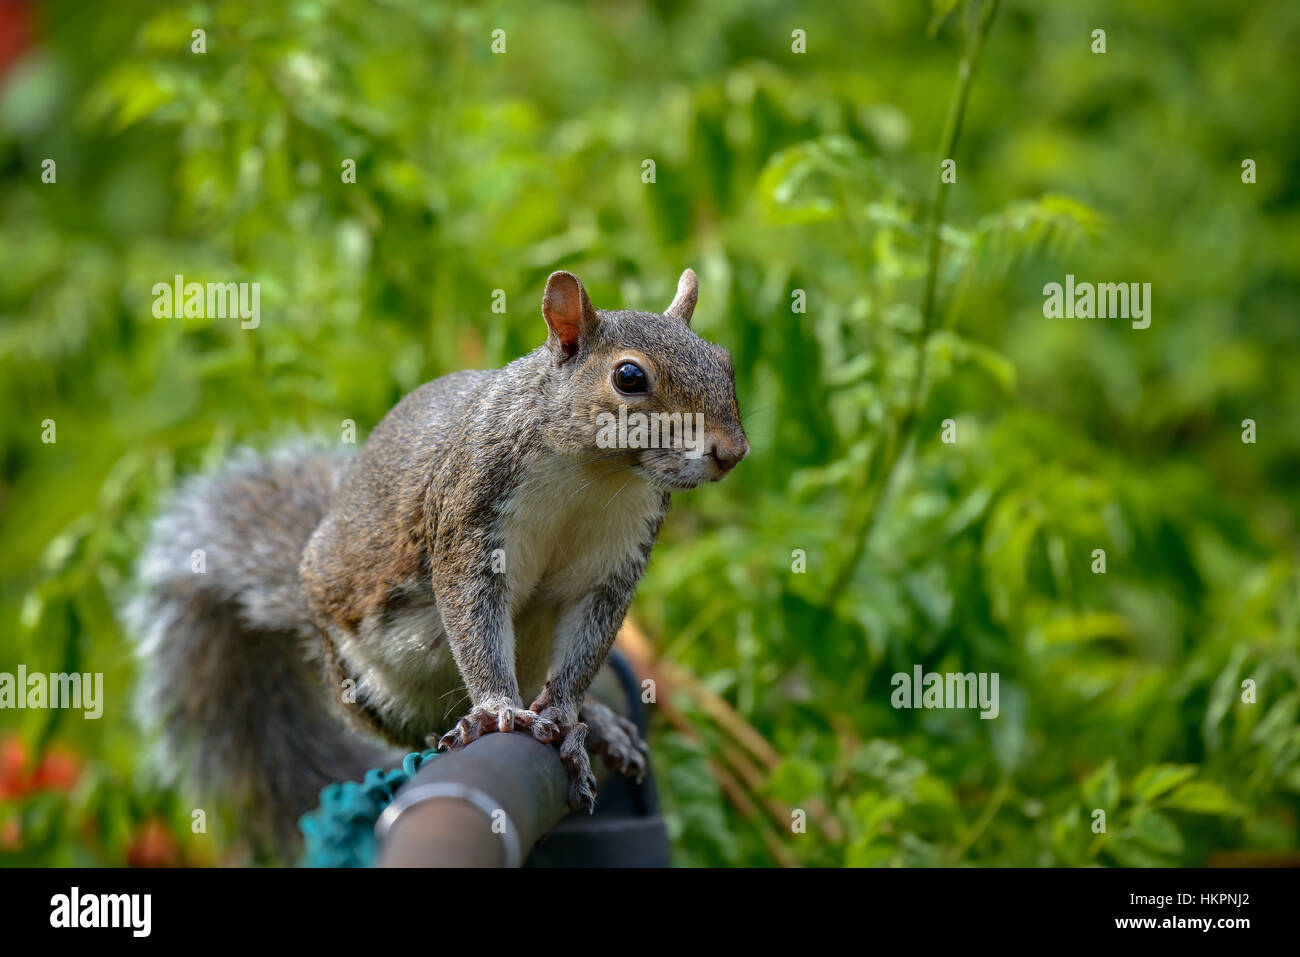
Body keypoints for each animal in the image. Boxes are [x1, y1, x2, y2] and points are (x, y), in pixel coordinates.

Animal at [127, 269, 748, 853]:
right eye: (629, 378)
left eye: (725, 361)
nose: (732, 452)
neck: (598, 473)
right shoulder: (468, 516)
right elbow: (472, 619)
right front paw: (497, 710)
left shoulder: (613, 565)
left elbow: (584, 649)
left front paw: (567, 718)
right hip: (368, 687)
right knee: (412, 731)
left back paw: (597, 722)